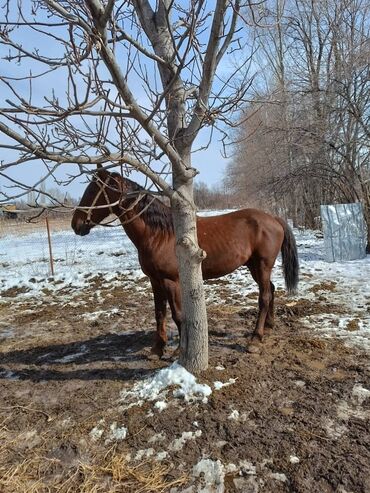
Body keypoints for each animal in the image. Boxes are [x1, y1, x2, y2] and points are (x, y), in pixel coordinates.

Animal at [71, 171, 298, 356]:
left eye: (94, 192)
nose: (76, 224)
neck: (159, 234)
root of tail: (274, 218)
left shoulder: (171, 281)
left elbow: (178, 315)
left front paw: (179, 350)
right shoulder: (155, 280)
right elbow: (159, 313)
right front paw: (157, 348)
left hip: (262, 265)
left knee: (264, 297)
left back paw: (255, 338)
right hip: (253, 266)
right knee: (271, 290)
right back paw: (269, 326)